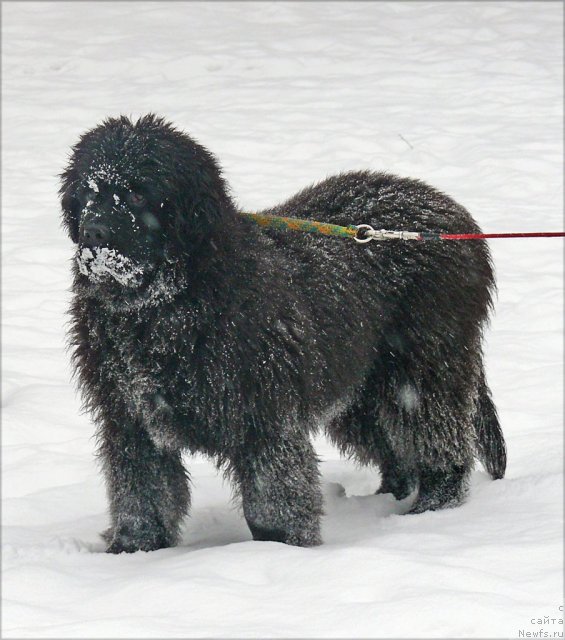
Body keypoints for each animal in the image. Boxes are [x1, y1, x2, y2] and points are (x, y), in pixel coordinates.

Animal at [59, 116, 504, 556]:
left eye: (138, 195)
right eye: (89, 193)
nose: (94, 232)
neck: (168, 303)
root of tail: (452, 214)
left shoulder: (264, 414)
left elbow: (274, 495)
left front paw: (281, 550)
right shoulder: (130, 417)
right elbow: (142, 492)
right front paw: (134, 550)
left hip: (424, 366)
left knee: (438, 436)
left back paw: (433, 508)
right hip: (361, 385)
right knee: (395, 448)